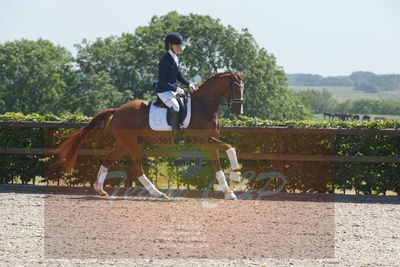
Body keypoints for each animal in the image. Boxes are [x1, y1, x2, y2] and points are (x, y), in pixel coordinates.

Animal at [55, 70, 244, 200]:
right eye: (236, 87)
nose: (239, 111)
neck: (203, 106)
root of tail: (117, 110)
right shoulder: (205, 141)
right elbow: (226, 154)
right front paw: (232, 183)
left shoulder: (209, 142)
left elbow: (225, 154)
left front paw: (232, 183)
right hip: (132, 144)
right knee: (138, 169)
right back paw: (157, 193)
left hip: (124, 144)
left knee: (107, 160)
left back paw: (100, 189)